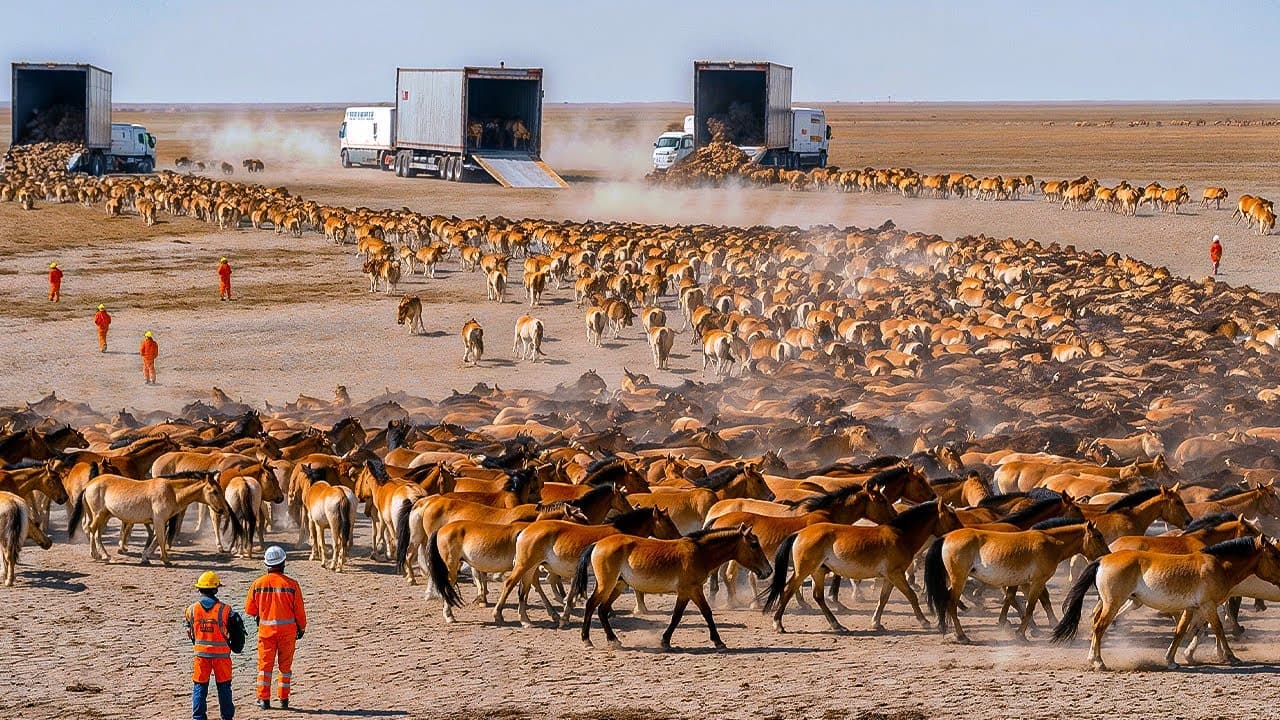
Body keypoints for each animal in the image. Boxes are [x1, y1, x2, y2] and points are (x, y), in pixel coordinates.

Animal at [574, 525, 772, 650]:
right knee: (591, 605)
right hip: (606, 585)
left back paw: (613, 640)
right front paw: (718, 642)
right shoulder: (690, 590)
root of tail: (597, 544)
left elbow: (686, 615)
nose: (768, 571)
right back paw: (586, 640)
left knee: (602, 610)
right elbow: (697, 613)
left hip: (618, 586)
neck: (700, 552)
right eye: (754, 544)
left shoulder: (688, 592)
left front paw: (665, 640)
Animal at [763, 500, 963, 633]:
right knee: (788, 590)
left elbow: (883, 599)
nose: (962, 531)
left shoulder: (889, 577)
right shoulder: (896, 574)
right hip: (803, 571)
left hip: (817, 572)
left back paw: (837, 625)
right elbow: (911, 596)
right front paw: (924, 621)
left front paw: (876, 623)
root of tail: (799, 532)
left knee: (818, 596)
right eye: (952, 515)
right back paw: (778, 624)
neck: (900, 535)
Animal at [924, 518, 1108, 642]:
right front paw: (1021, 634)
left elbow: (1011, 599)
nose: (1107, 556)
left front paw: (1006, 624)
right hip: (959, 579)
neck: (1051, 544)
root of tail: (946, 537)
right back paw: (961, 635)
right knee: (951, 603)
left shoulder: (1018, 582)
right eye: (1098, 536)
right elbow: (1031, 606)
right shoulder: (1037, 581)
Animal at [1053, 537, 1280, 670]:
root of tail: (1102, 560)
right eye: (1274, 555)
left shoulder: (1191, 608)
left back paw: (1094, 659)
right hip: (1113, 603)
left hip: (1109, 603)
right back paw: (1098, 662)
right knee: (1099, 627)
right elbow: (1219, 629)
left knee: (1095, 625)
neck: (1218, 565)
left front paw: (1171, 660)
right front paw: (1231, 657)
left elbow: (1181, 631)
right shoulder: (1208, 605)